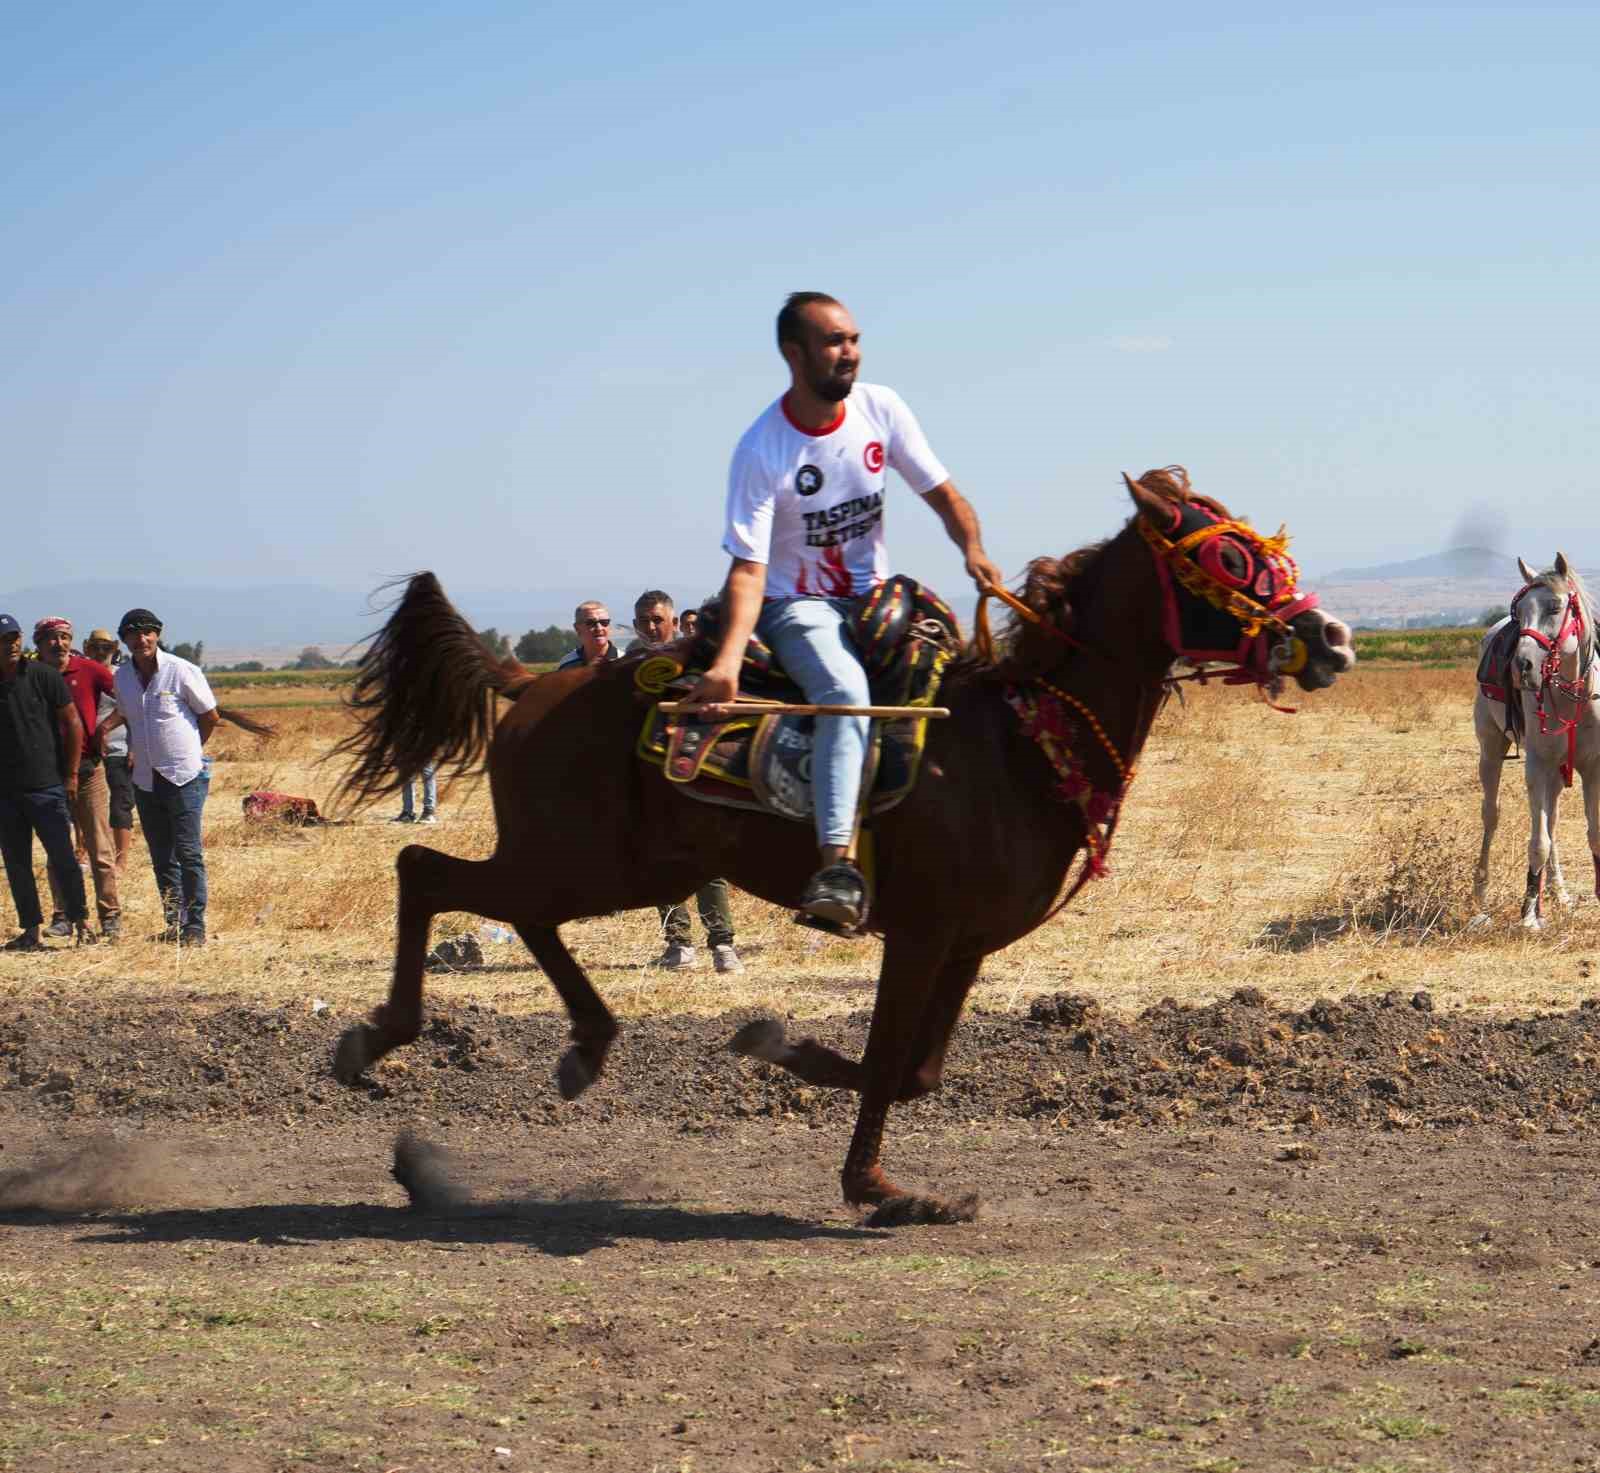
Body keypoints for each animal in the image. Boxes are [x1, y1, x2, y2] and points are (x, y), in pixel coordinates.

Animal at [334, 467, 1350, 1215]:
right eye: (1230, 553)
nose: (1332, 636)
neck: (1016, 743)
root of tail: (533, 681)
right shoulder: (920, 932)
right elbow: (887, 1060)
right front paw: (866, 1172)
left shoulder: (966, 944)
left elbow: (919, 1071)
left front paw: (826, 1100)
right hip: (583, 859)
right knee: (427, 873)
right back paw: (383, 1039)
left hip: (626, 866)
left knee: (503, 906)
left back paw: (584, 1045)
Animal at [1472, 556, 1600, 927]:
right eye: (1519, 611)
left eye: (1555, 607)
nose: (1521, 666)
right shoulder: (1537, 767)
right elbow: (1538, 842)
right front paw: (1529, 912)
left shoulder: (1593, 769)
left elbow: (1593, 833)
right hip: (1491, 752)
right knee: (1492, 815)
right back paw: (1480, 892)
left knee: (1553, 822)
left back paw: (1559, 893)